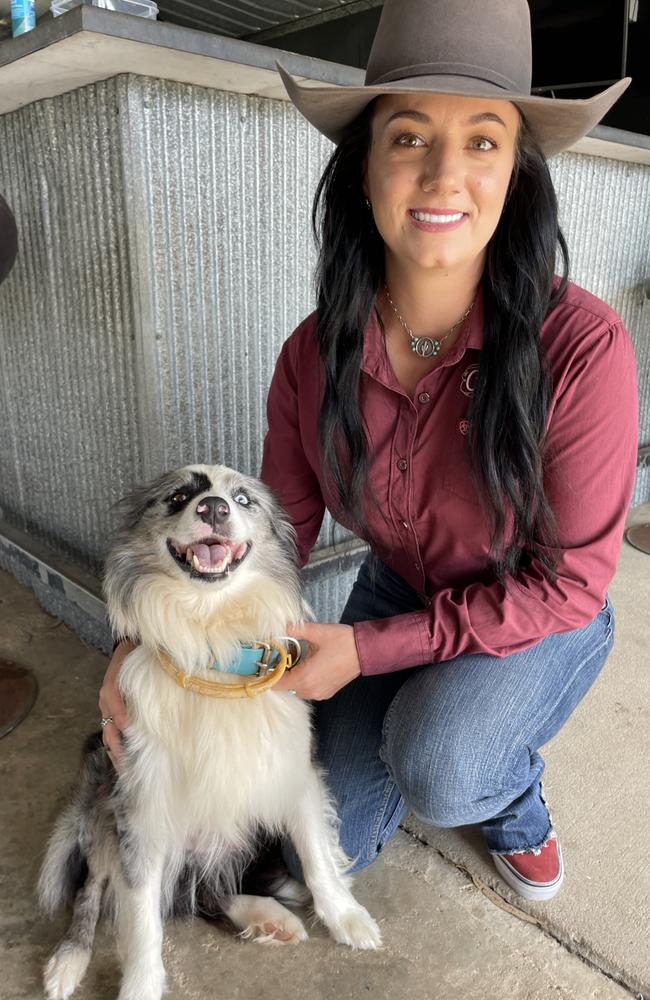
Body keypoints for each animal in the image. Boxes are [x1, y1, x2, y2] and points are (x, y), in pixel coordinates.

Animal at [38, 462, 380, 1000]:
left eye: (242, 499)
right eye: (178, 496)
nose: (214, 508)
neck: (213, 645)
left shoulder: (293, 770)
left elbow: (316, 854)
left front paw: (346, 917)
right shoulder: (142, 806)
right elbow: (141, 917)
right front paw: (140, 985)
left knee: (209, 892)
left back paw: (271, 912)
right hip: (101, 804)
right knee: (98, 890)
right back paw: (68, 961)